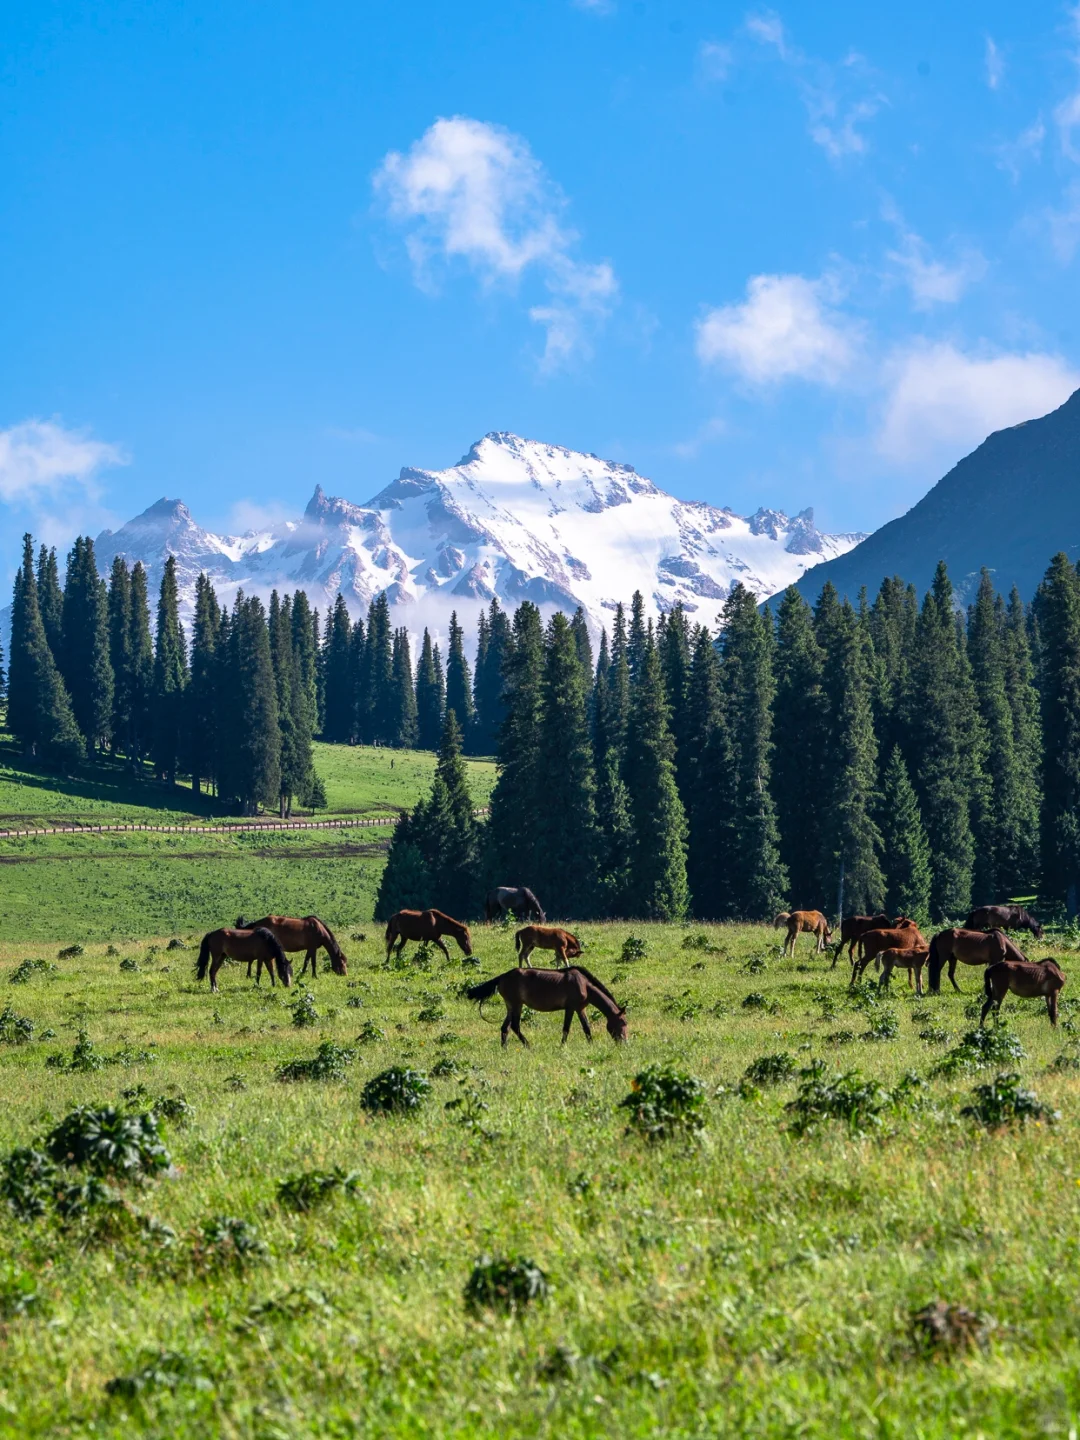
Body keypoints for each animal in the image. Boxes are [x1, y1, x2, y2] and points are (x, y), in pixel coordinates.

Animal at [463, 967, 630, 1048]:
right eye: (624, 1023)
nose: (624, 1042)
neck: (584, 985)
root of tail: (502, 977)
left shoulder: (580, 1009)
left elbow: (586, 1028)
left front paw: (591, 1044)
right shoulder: (570, 1008)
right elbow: (566, 1028)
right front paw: (562, 1046)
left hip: (510, 1006)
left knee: (505, 1027)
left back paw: (505, 1048)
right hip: (517, 1005)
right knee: (515, 1026)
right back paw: (528, 1045)